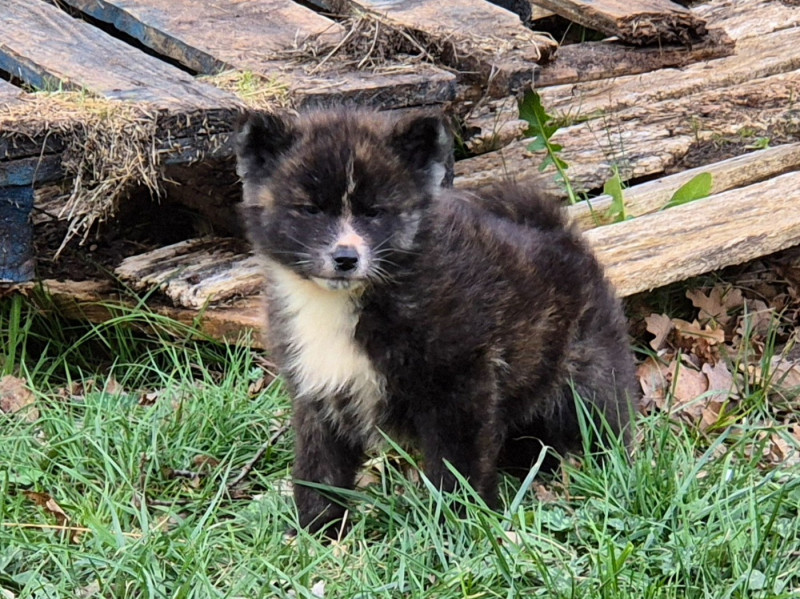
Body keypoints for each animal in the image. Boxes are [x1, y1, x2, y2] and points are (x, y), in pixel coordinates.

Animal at [235, 107, 637, 535]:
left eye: (375, 212)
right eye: (310, 209)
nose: (345, 258)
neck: (346, 301)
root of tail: (561, 235)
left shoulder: (460, 385)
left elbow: (457, 464)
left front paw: (462, 524)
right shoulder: (318, 392)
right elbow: (320, 469)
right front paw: (317, 532)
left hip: (588, 380)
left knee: (603, 426)